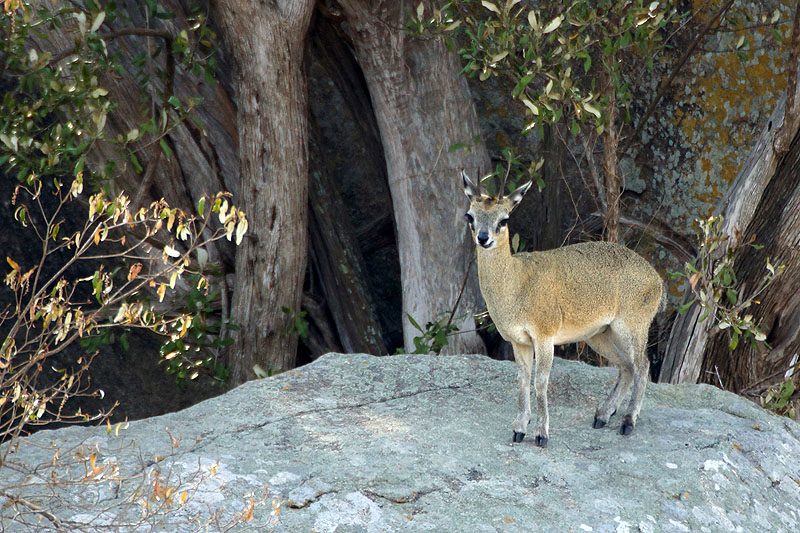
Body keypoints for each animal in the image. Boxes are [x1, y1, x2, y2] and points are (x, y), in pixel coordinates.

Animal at [462, 170, 664, 444]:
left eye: (504, 219)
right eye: (470, 215)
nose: (484, 238)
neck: (517, 284)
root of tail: (657, 279)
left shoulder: (544, 336)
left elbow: (541, 382)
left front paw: (541, 434)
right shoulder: (519, 341)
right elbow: (523, 380)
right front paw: (519, 429)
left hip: (631, 327)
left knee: (643, 366)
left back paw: (627, 422)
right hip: (599, 334)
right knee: (627, 367)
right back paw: (602, 416)